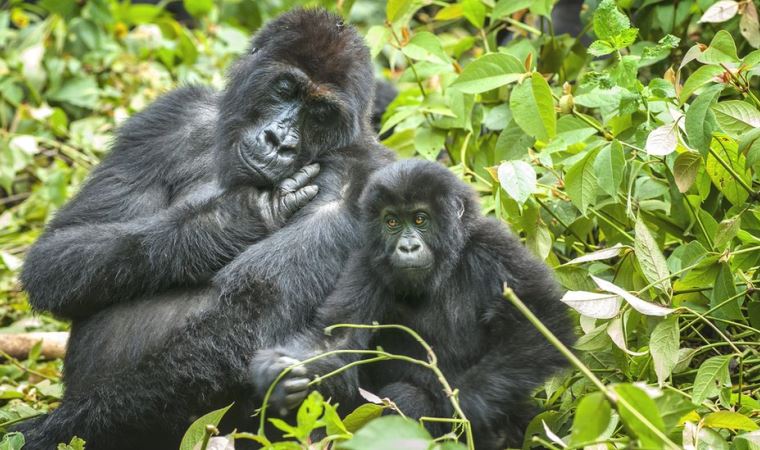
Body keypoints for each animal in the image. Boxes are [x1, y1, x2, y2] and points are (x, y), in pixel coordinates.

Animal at [17, 7, 392, 450]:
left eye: (320, 114)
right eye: (285, 89)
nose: (279, 141)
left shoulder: (363, 179)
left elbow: (252, 317)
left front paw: (53, 429)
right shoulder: (170, 116)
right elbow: (56, 254)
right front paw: (229, 221)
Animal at [252, 159, 572, 450]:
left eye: (420, 219)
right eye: (392, 221)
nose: (407, 247)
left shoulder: (494, 246)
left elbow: (541, 322)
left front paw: (466, 403)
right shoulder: (367, 264)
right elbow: (336, 340)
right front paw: (275, 372)